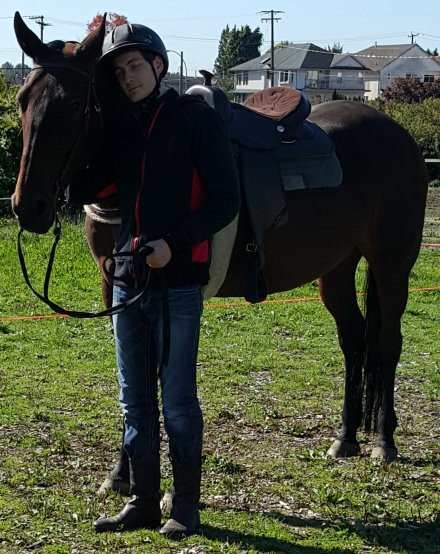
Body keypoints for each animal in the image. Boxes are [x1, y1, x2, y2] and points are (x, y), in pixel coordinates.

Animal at [12, 11, 426, 462]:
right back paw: (346, 435)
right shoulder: (117, 288)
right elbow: (131, 381)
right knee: (353, 338)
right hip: (336, 264)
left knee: (387, 341)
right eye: (22, 100)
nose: (28, 206)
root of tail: (399, 134)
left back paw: (384, 440)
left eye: (73, 105)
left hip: (391, 262)